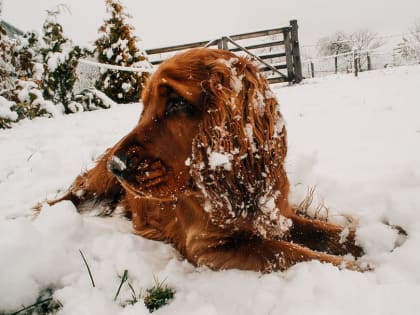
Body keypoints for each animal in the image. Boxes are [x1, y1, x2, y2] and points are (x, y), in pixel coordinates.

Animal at [51, 48, 360, 272]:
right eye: (144, 106)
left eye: (177, 103)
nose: (116, 166)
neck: (236, 188)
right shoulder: (210, 248)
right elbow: (288, 253)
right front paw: (357, 267)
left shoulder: (279, 215)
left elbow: (328, 232)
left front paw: (365, 241)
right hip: (93, 183)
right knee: (69, 194)